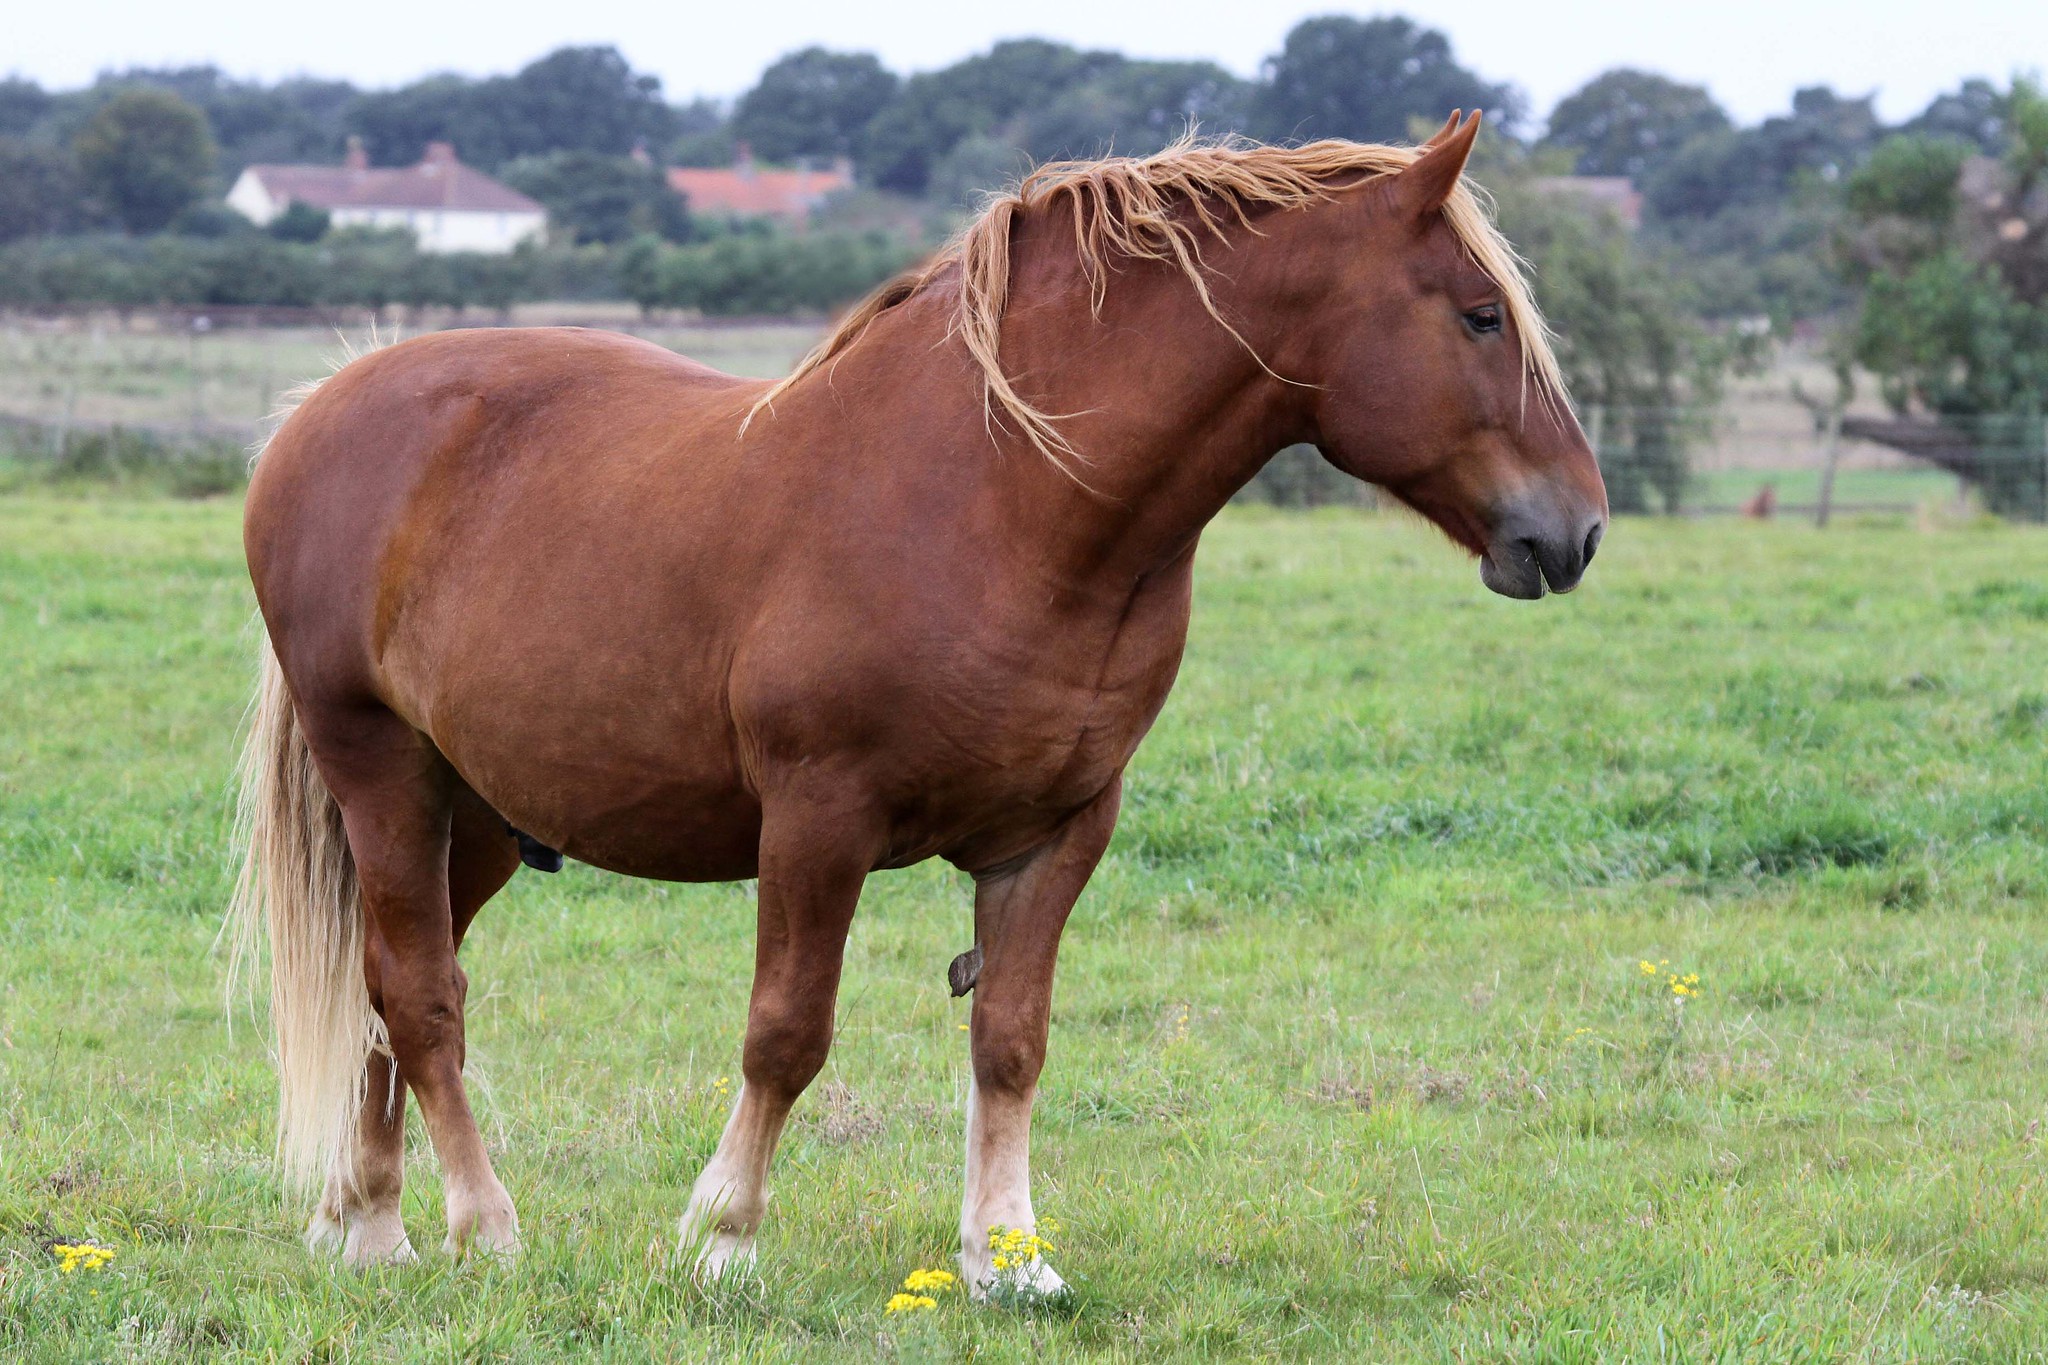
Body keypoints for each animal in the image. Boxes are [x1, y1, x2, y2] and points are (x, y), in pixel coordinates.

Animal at [224, 114, 1597, 1293]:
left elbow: (1010, 1040)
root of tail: (322, 411)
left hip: (480, 816)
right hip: (382, 774)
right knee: (423, 998)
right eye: (1479, 315)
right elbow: (786, 1032)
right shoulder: (816, 823)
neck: (1003, 501)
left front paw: (1006, 1259)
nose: (1573, 531)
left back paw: (364, 1219)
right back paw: (475, 1227)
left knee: (385, 988)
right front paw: (722, 1239)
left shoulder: (1055, 836)